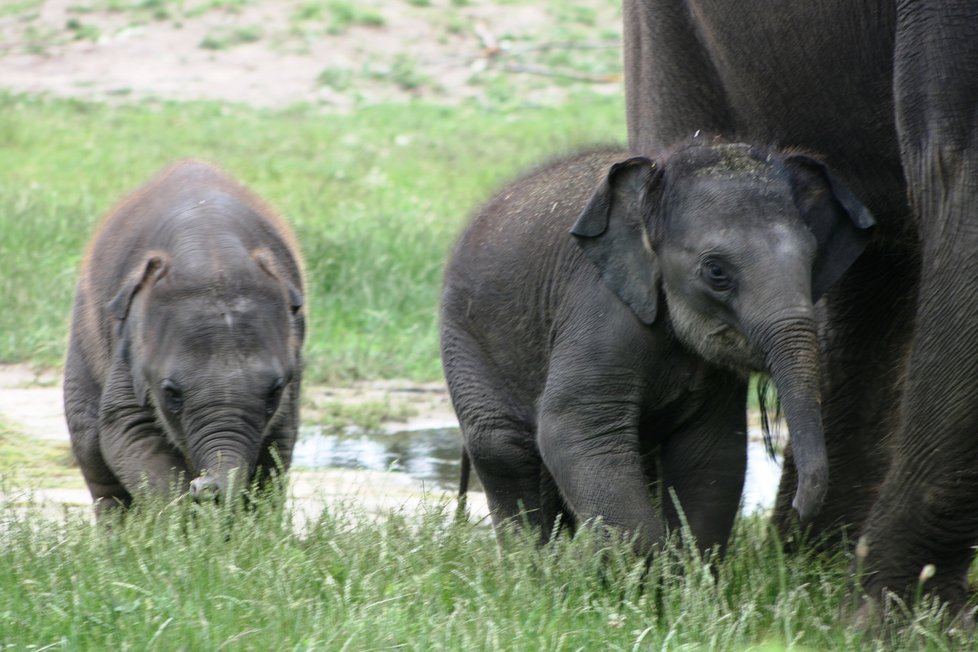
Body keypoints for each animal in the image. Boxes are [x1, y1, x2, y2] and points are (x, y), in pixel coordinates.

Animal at [64, 159, 304, 516]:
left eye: (274, 391)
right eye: (171, 393)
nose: (204, 486)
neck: (212, 252)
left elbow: (279, 443)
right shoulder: (129, 346)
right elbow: (128, 429)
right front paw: (186, 521)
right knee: (91, 445)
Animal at [438, 139, 872, 556]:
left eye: (813, 259)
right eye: (716, 272)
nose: (800, 509)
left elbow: (711, 452)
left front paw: (684, 576)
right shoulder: (602, 310)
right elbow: (574, 429)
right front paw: (636, 573)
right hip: (463, 334)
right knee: (501, 445)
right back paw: (535, 568)